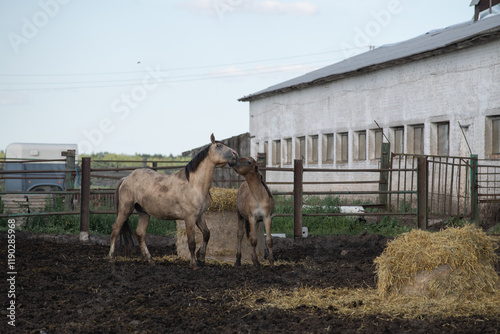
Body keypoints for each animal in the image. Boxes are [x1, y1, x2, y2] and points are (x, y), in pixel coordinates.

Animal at [107, 134, 238, 268]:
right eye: (219, 145)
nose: (235, 154)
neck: (194, 184)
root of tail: (125, 178)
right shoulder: (189, 218)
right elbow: (191, 242)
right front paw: (194, 264)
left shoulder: (200, 216)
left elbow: (207, 234)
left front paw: (201, 257)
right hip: (125, 209)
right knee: (115, 230)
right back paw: (111, 258)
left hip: (144, 213)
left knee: (140, 234)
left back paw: (150, 259)